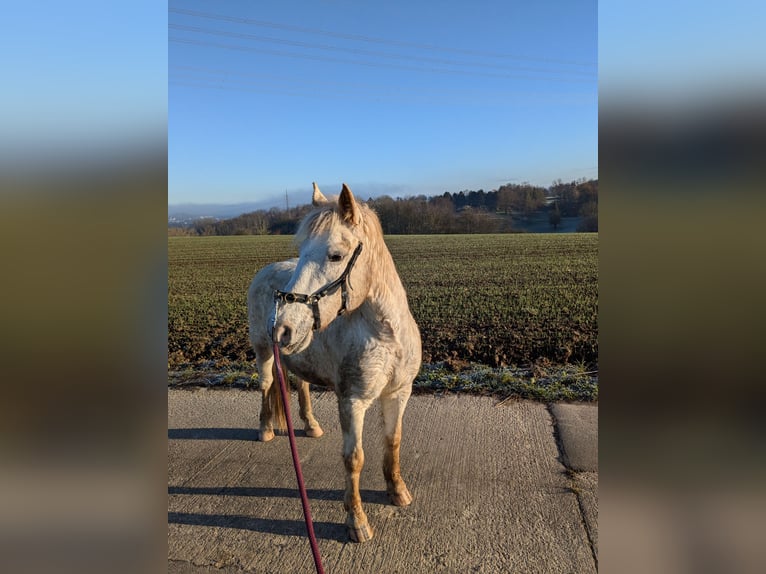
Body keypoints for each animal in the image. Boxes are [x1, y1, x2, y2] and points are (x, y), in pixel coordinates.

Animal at [247, 182, 422, 543]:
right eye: (302, 252)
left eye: (336, 256)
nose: (282, 328)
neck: (386, 335)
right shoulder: (353, 402)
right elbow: (353, 458)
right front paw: (356, 520)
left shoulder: (398, 393)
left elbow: (393, 441)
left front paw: (397, 491)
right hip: (264, 352)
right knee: (267, 386)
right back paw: (266, 430)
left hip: (296, 354)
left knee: (301, 386)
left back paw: (311, 426)